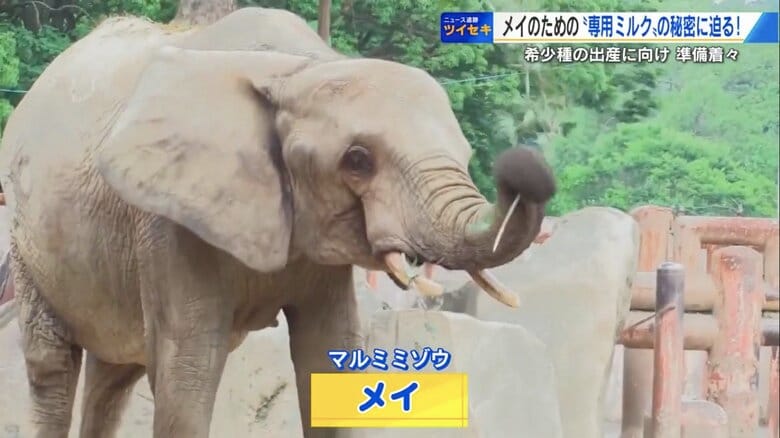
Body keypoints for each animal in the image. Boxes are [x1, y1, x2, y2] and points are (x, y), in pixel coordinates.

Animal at [0, 7, 555, 438]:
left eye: (465, 155)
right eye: (357, 160)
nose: (523, 162)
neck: (295, 69)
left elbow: (328, 351)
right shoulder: (167, 220)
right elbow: (188, 368)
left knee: (114, 376)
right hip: (27, 241)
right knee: (54, 369)